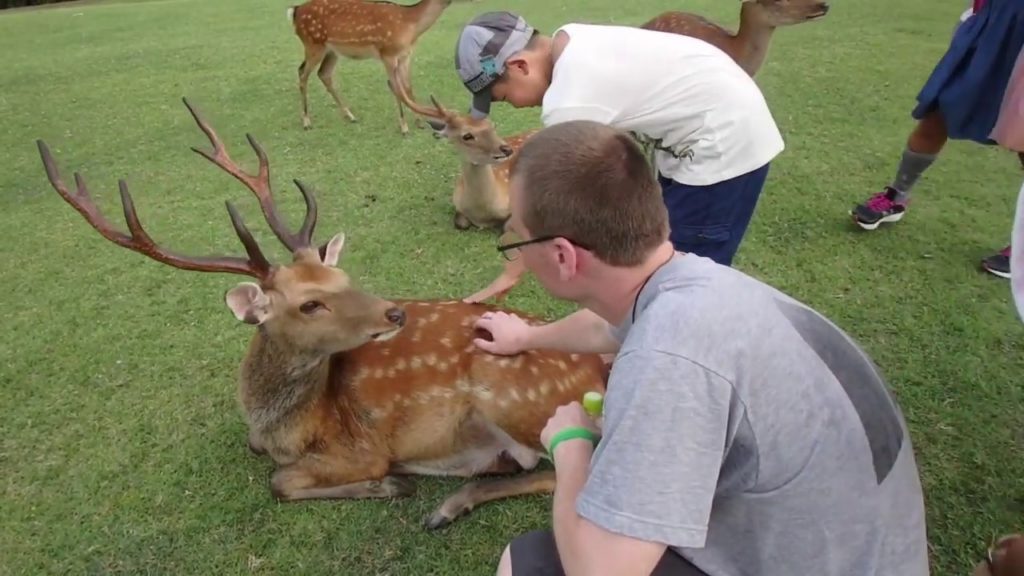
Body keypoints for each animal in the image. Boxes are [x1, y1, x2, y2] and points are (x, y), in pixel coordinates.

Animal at [36, 97, 608, 530]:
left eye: (342, 278)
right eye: (311, 302)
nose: (394, 313)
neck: (284, 425)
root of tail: (602, 370)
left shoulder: (361, 448)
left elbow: (281, 482)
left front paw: (390, 483)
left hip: (515, 396)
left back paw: (450, 502)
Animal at [287, 0, 455, 135]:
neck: (411, 26)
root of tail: (295, 10)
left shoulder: (405, 55)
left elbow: (408, 88)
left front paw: (420, 122)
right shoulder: (388, 54)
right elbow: (397, 89)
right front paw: (404, 127)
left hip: (331, 50)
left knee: (324, 73)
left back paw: (350, 116)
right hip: (313, 44)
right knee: (302, 73)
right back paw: (306, 121)